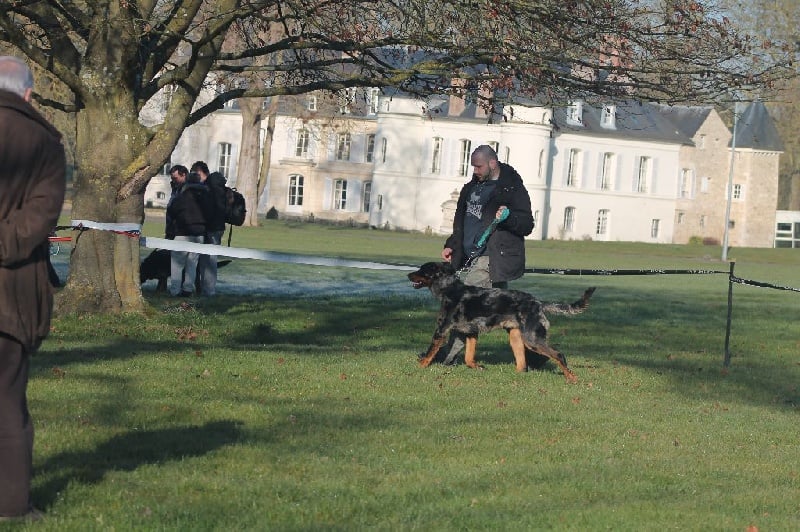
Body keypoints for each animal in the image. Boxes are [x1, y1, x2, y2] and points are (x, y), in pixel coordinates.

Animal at [406, 262, 592, 382]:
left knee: (558, 355)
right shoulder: (470, 333)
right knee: (522, 365)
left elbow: (429, 353)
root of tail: (538, 303)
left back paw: (571, 377)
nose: (408, 274)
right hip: (517, 337)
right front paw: (479, 367)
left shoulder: (441, 330)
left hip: (531, 340)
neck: (450, 289)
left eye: (422, 270)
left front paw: (419, 368)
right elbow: (468, 358)